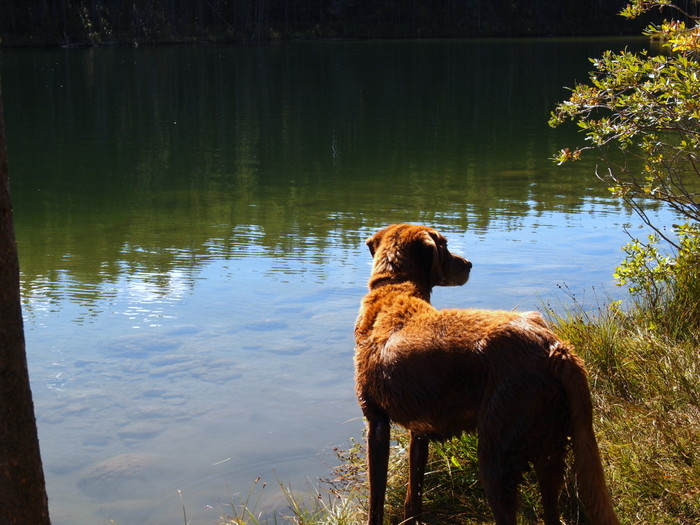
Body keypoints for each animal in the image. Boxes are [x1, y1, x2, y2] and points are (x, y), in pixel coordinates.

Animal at [356, 224, 616, 524]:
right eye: (444, 245)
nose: (468, 263)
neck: (395, 289)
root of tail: (555, 348)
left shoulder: (376, 422)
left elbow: (376, 499)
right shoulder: (419, 430)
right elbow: (414, 491)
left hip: (496, 455)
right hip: (551, 450)